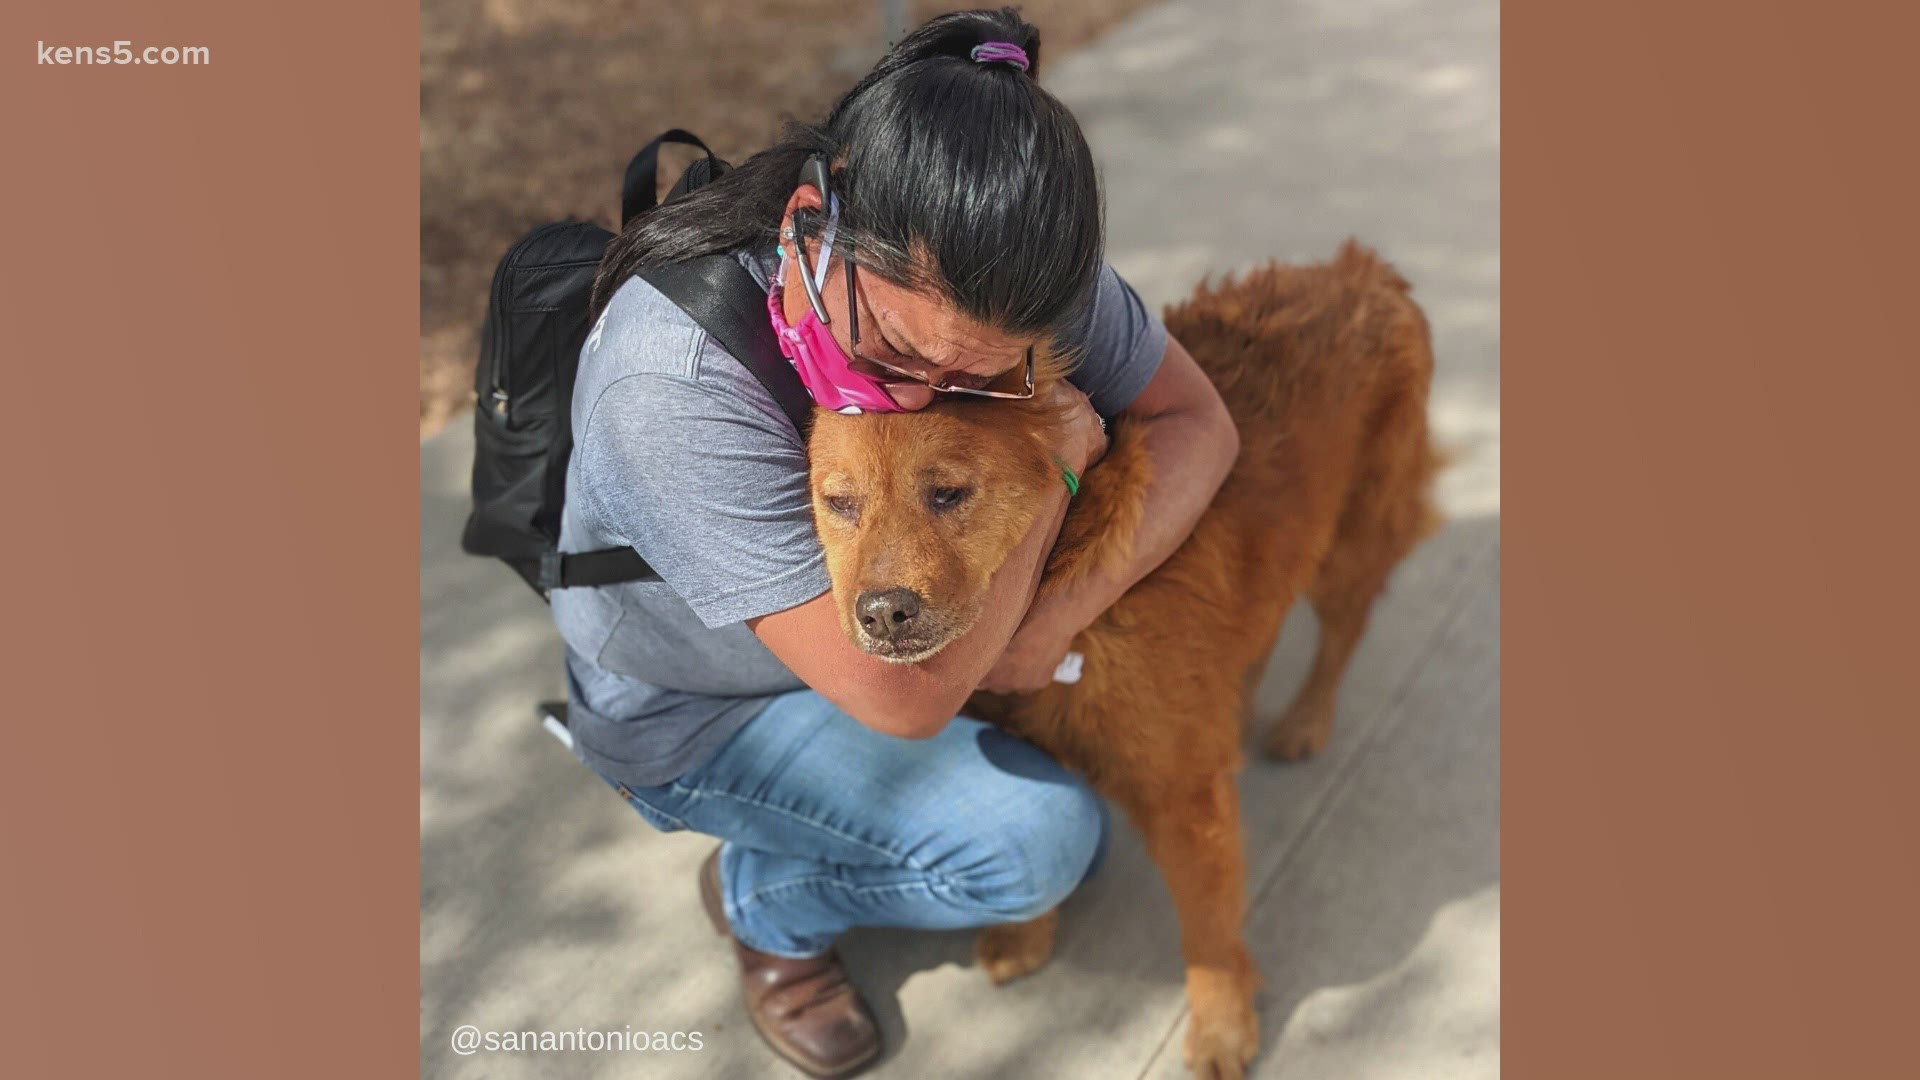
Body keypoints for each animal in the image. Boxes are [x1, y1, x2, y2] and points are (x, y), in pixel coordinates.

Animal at [798, 244, 1443, 1076]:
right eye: (839, 505)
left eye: (948, 494)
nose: (881, 614)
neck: (1065, 576)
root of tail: (1362, 268)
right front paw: (1028, 938)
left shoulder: (1183, 795)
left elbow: (1207, 930)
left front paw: (1222, 1028)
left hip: (1351, 543)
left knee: (1342, 633)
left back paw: (1304, 720)